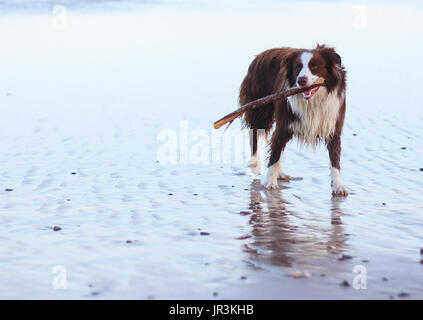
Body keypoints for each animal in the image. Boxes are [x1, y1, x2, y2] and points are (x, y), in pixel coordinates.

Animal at [240, 44, 350, 195]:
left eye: (315, 66)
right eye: (298, 67)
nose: (301, 80)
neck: (313, 101)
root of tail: (259, 56)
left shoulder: (333, 124)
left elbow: (335, 159)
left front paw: (338, 186)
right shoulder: (285, 123)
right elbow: (274, 154)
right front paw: (270, 182)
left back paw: (280, 173)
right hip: (260, 109)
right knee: (257, 136)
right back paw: (256, 165)